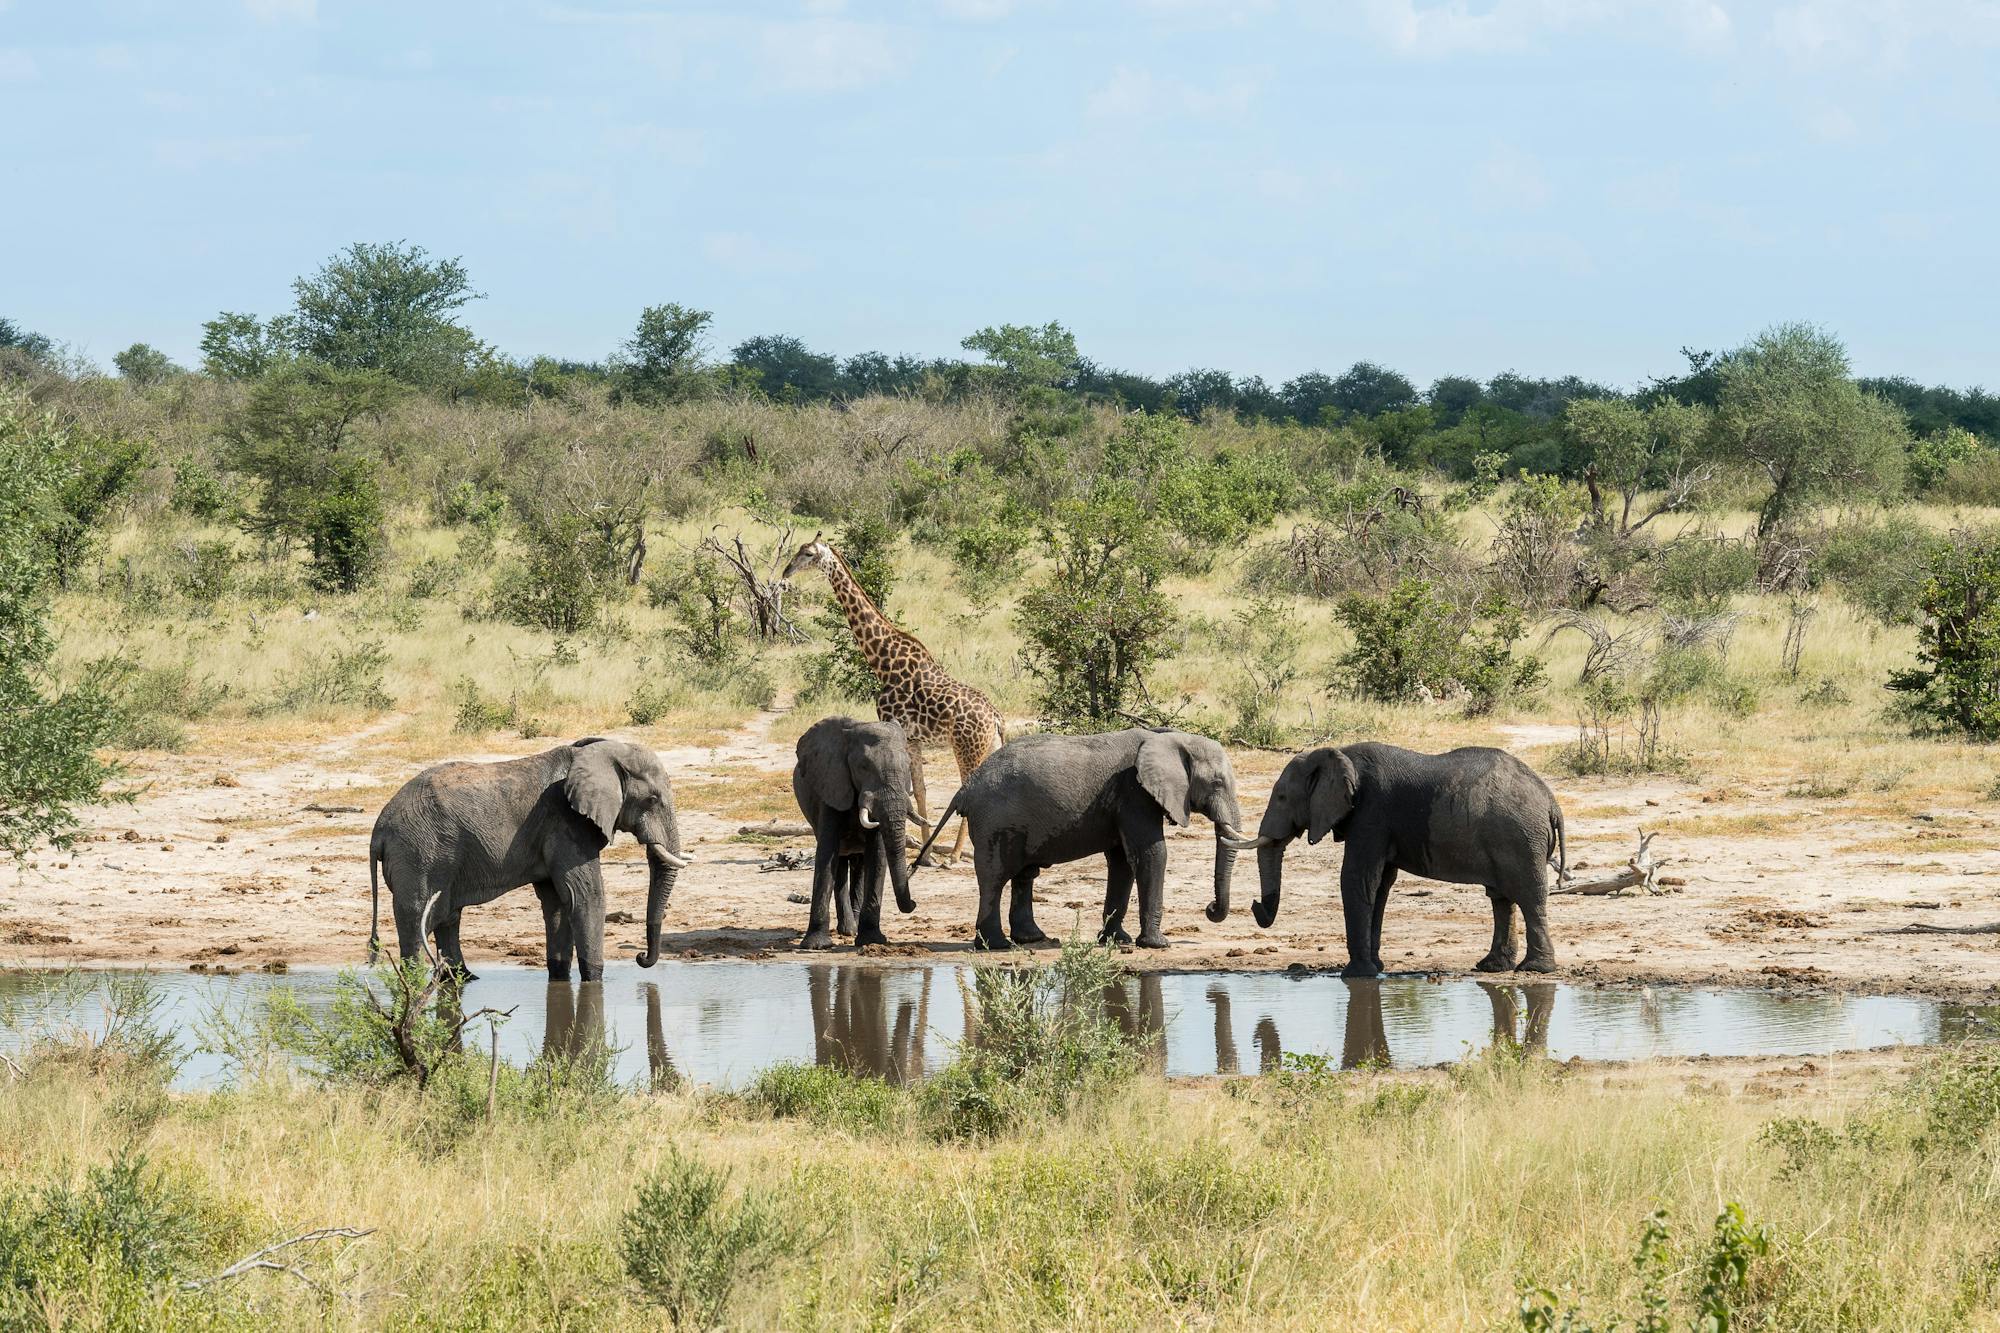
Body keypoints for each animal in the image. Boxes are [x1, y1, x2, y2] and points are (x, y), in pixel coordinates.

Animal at [368, 736, 696, 976]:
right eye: (652, 799)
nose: (641, 957)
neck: (600, 751)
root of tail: (379, 829)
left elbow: (559, 903)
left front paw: (560, 976)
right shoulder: (566, 824)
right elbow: (586, 897)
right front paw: (594, 979)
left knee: (447, 917)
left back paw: (462, 978)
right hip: (419, 856)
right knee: (418, 920)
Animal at [780, 532, 1000, 860]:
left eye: (807, 553)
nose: (786, 571)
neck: (883, 661)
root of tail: (996, 718)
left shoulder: (895, 726)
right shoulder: (914, 738)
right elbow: (919, 790)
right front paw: (926, 852)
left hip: (967, 747)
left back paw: (955, 855)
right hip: (989, 747)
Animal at [796, 716, 920, 944]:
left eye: (908, 766)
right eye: (863, 767)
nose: (914, 903)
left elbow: (877, 855)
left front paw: (872, 940)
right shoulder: (832, 784)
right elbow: (827, 852)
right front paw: (816, 945)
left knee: (860, 863)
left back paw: (853, 929)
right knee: (840, 861)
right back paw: (847, 929)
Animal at [916, 728, 1248, 944]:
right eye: (1217, 783)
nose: (1210, 909)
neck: (1171, 737)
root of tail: (966, 788)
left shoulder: (1123, 800)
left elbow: (1122, 862)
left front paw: (1117, 941)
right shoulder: (1134, 793)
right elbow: (1152, 854)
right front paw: (1156, 944)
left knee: (1024, 874)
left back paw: (1032, 939)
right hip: (993, 820)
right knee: (995, 878)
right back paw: (997, 946)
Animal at [1216, 736, 1560, 976]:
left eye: (1282, 797)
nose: (1255, 905)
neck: (1339, 753)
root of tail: (1550, 801)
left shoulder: (1372, 812)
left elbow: (1357, 878)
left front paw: (1356, 975)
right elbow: (1379, 885)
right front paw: (1375, 968)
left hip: (1520, 839)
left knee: (1529, 896)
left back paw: (1534, 969)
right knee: (1501, 898)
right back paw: (1492, 967)